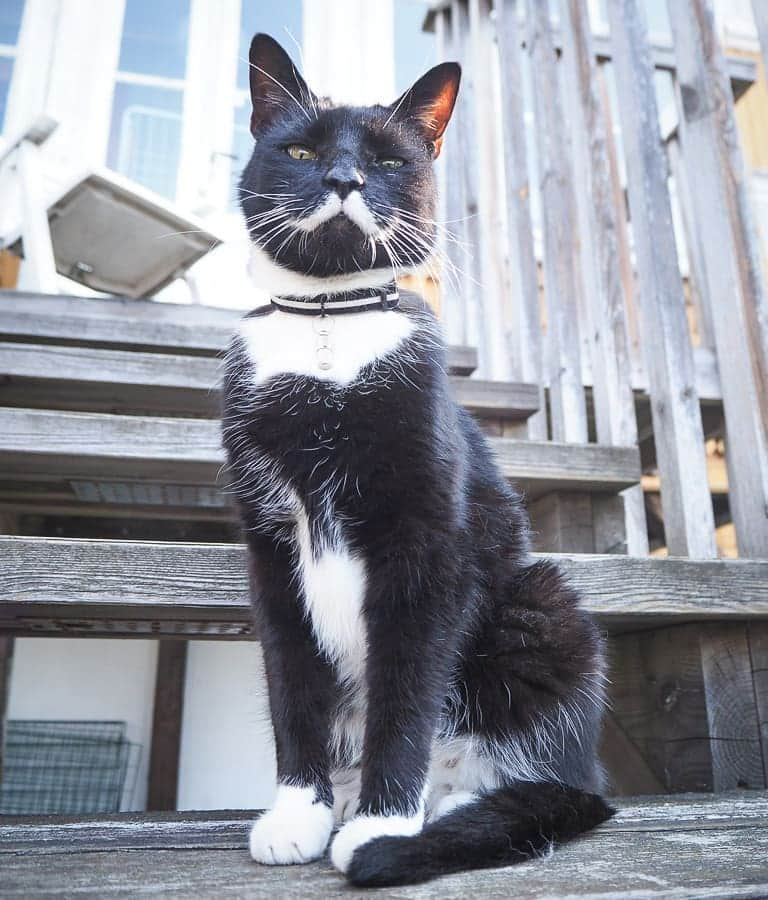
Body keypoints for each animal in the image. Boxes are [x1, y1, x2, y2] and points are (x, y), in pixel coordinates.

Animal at [220, 33, 612, 884]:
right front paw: (297, 812)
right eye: (299, 149)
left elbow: (405, 687)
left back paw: (448, 814)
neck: (328, 335)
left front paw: (382, 823)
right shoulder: (268, 545)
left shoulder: (427, 541)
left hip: (545, 599)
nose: (344, 178)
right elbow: (292, 681)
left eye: (389, 160)